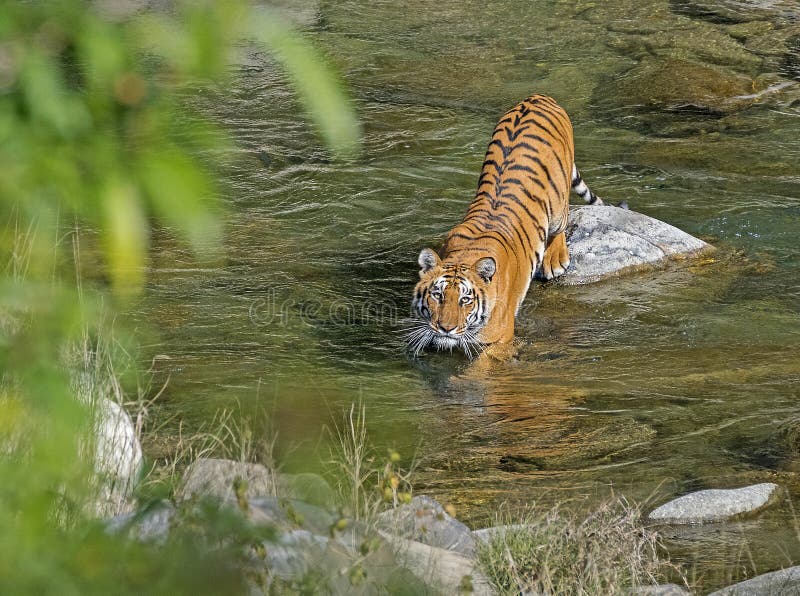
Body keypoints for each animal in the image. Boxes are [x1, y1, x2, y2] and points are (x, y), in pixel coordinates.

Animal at [410, 95, 604, 356]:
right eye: (437, 295)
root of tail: (539, 96)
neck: (464, 255)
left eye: (465, 300)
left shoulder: (499, 338)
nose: (445, 329)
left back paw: (554, 260)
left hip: (557, 203)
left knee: (562, 221)